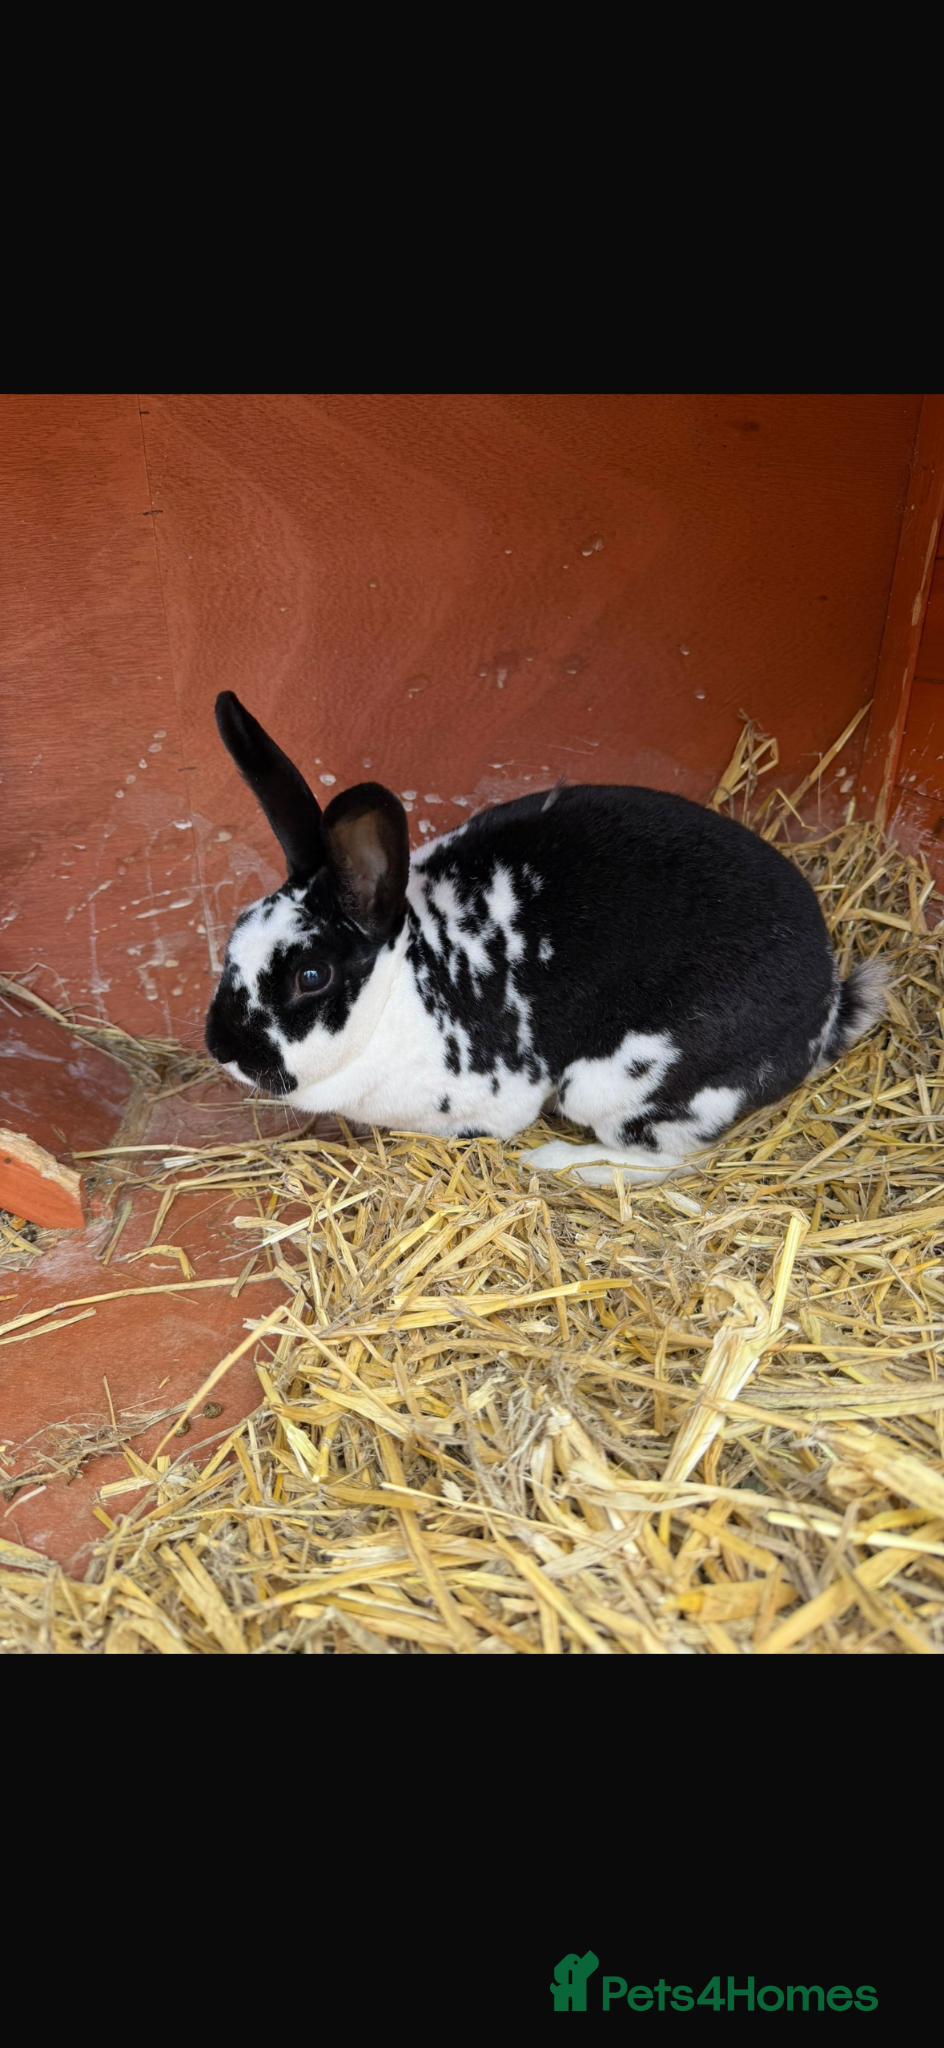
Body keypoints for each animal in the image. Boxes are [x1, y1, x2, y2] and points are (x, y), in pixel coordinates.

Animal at [205, 692, 887, 1187]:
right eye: (235, 933)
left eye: (311, 976)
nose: (221, 1048)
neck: (404, 984)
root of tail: (827, 1009)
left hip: (621, 1087)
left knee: (670, 1160)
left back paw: (557, 1163)